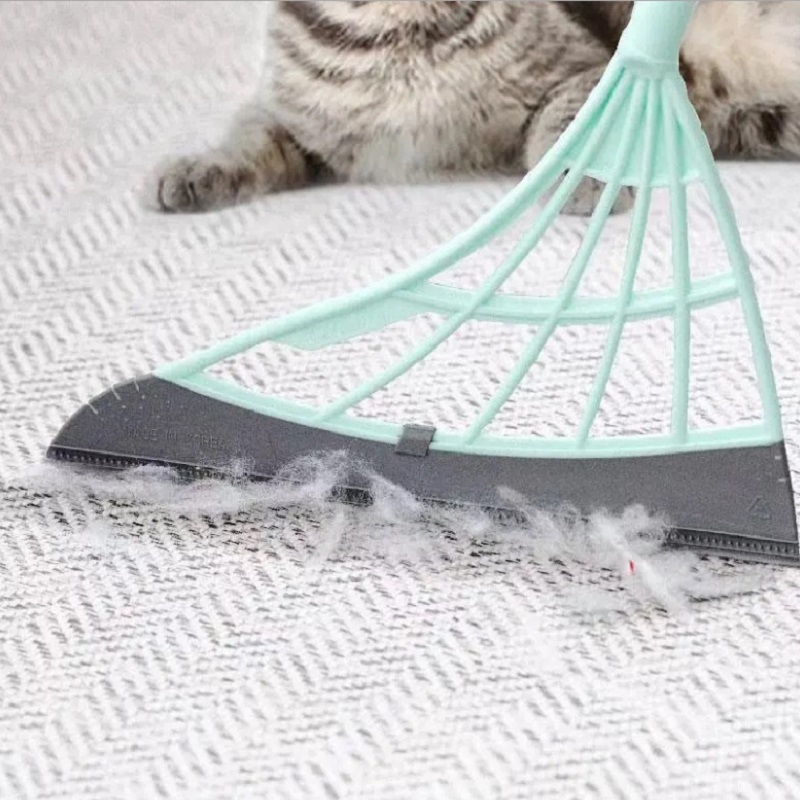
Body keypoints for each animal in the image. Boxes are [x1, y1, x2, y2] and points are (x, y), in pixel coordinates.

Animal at [154, 1, 800, 217]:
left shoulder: (593, 67)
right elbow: (248, 142)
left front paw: (581, 179)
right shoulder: (290, 118)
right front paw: (197, 171)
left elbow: (563, 123)